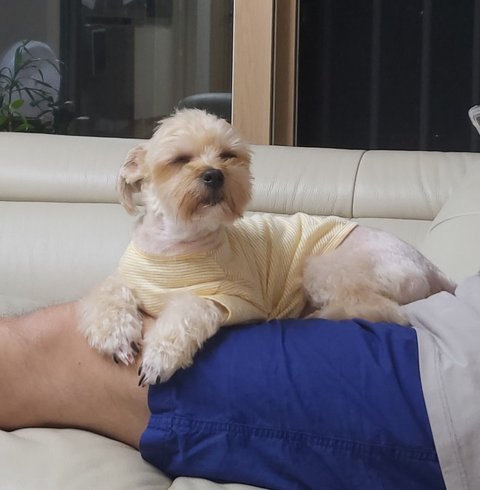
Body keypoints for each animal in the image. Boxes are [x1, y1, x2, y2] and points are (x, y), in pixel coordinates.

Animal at [78, 108, 456, 386]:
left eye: (228, 155)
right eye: (180, 159)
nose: (215, 174)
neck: (175, 244)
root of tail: (429, 265)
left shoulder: (228, 299)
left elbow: (188, 311)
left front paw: (159, 358)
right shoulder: (128, 280)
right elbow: (107, 293)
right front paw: (114, 337)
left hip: (327, 267)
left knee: (385, 311)